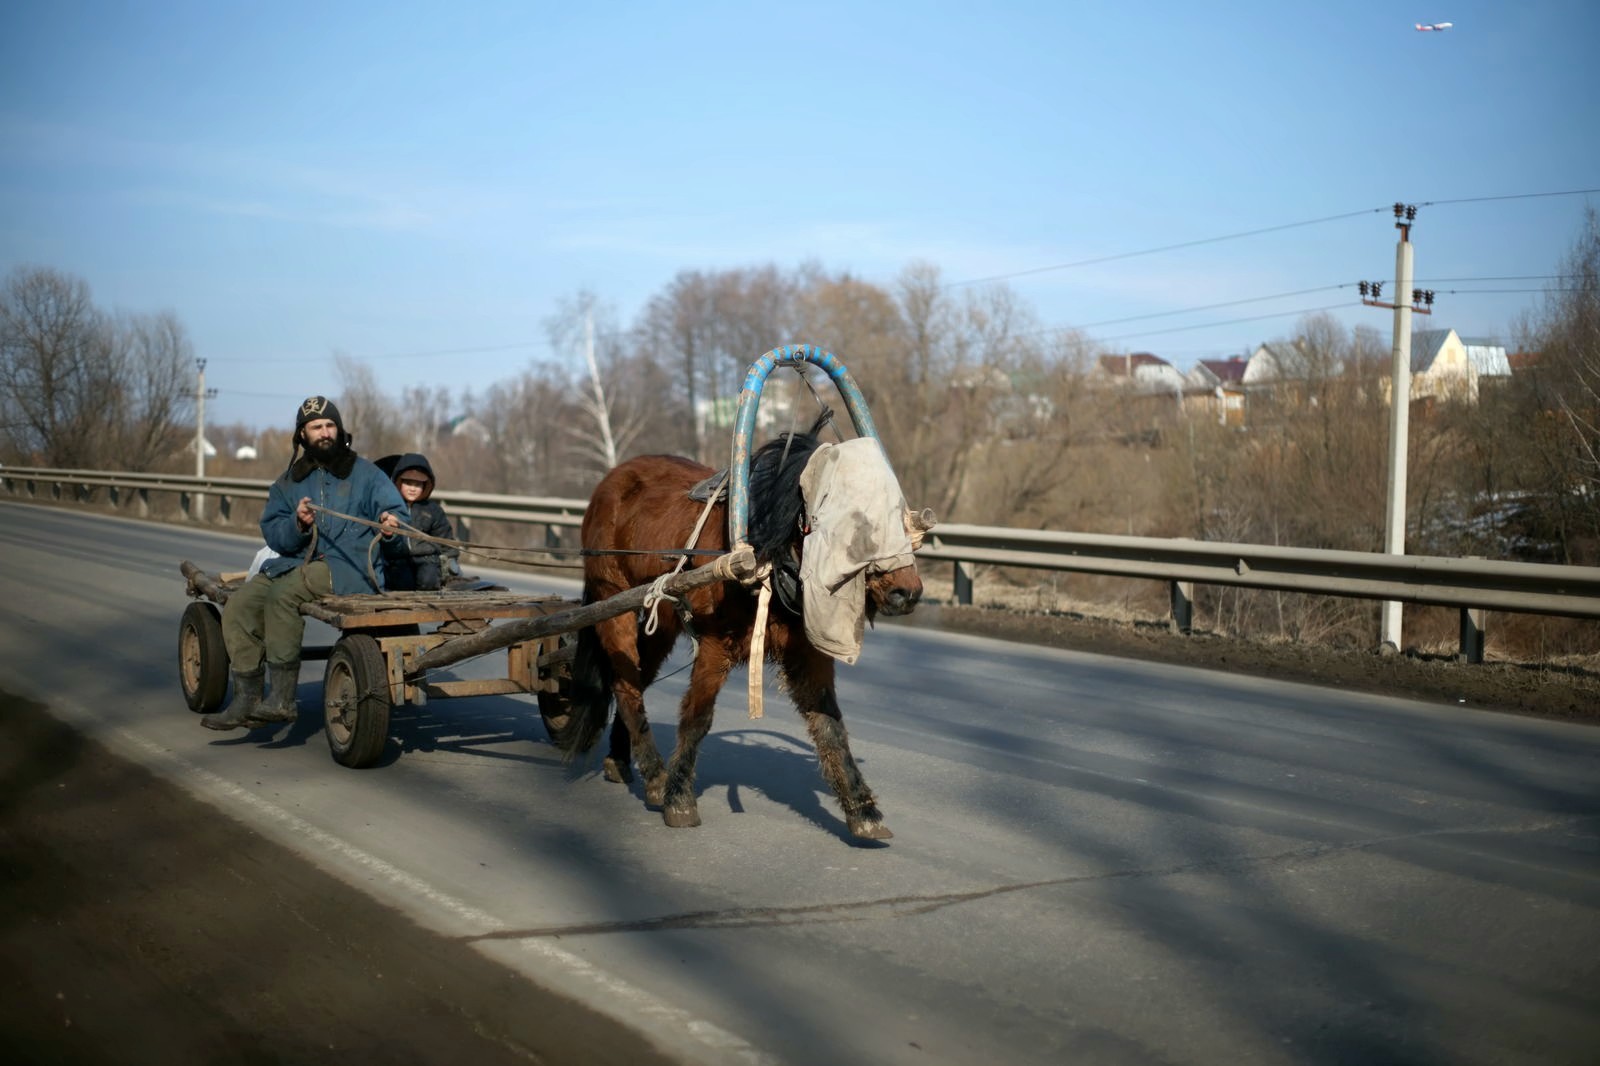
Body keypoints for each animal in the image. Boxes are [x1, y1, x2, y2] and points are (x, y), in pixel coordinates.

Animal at [553, 416, 921, 838]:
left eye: (901, 516)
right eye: (856, 520)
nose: (908, 593)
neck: (767, 557)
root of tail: (610, 481)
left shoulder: (806, 655)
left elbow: (829, 725)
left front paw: (863, 809)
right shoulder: (715, 645)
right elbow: (697, 717)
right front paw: (680, 796)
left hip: (660, 620)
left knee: (633, 681)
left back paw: (620, 759)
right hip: (612, 599)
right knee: (626, 687)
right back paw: (657, 776)